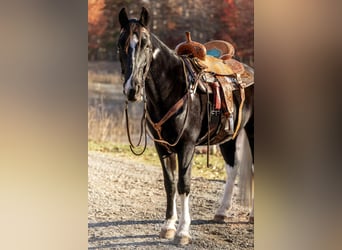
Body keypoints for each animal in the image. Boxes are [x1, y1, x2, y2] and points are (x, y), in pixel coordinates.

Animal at [117, 6, 254, 245]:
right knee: (233, 168)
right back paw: (221, 212)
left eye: (145, 44)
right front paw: (168, 226)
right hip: (229, 136)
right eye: (120, 44)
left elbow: (184, 184)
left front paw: (182, 231)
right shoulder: (162, 146)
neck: (173, 88)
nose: (132, 89)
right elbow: (170, 184)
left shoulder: (187, 146)